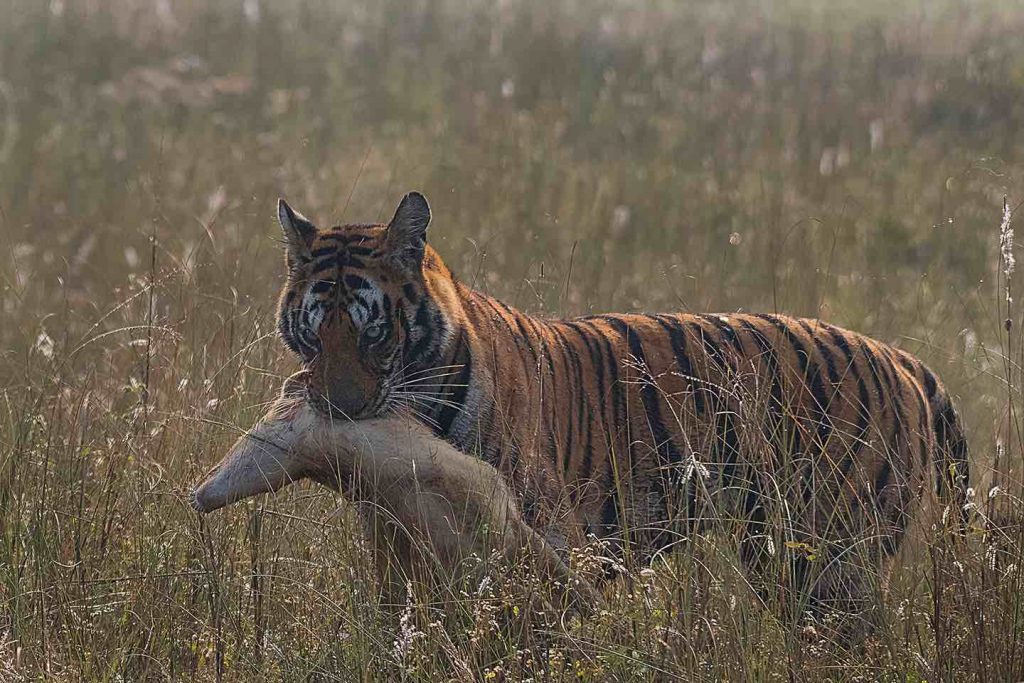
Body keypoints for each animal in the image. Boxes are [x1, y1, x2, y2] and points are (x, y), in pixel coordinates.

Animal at [276, 189, 970, 634]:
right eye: (315, 330)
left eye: (372, 332)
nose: (338, 410)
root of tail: (901, 358)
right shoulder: (392, 529)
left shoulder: (545, 526)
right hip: (777, 553)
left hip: (832, 558)